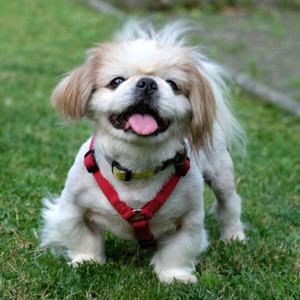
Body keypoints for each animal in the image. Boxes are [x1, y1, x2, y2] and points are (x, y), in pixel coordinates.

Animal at [40, 21, 246, 284]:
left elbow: (178, 250)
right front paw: (87, 261)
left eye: (173, 85)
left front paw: (175, 276)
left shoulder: (189, 219)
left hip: (220, 172)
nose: (147, 82)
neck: (136, 167)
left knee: (229, 203)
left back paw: (234, 237)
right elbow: (83, 238)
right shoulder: (72, 208)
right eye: (116, 81)